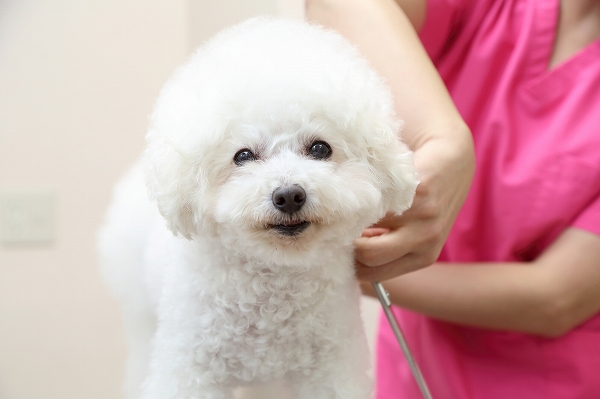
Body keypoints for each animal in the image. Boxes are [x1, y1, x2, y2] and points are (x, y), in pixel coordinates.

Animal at [98, 17, 418, 399]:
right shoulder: (191, 369)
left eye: (320, 148)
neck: (273, 283)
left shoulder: (329, 369)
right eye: (243, 156)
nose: (289, 195)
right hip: (141, 316)